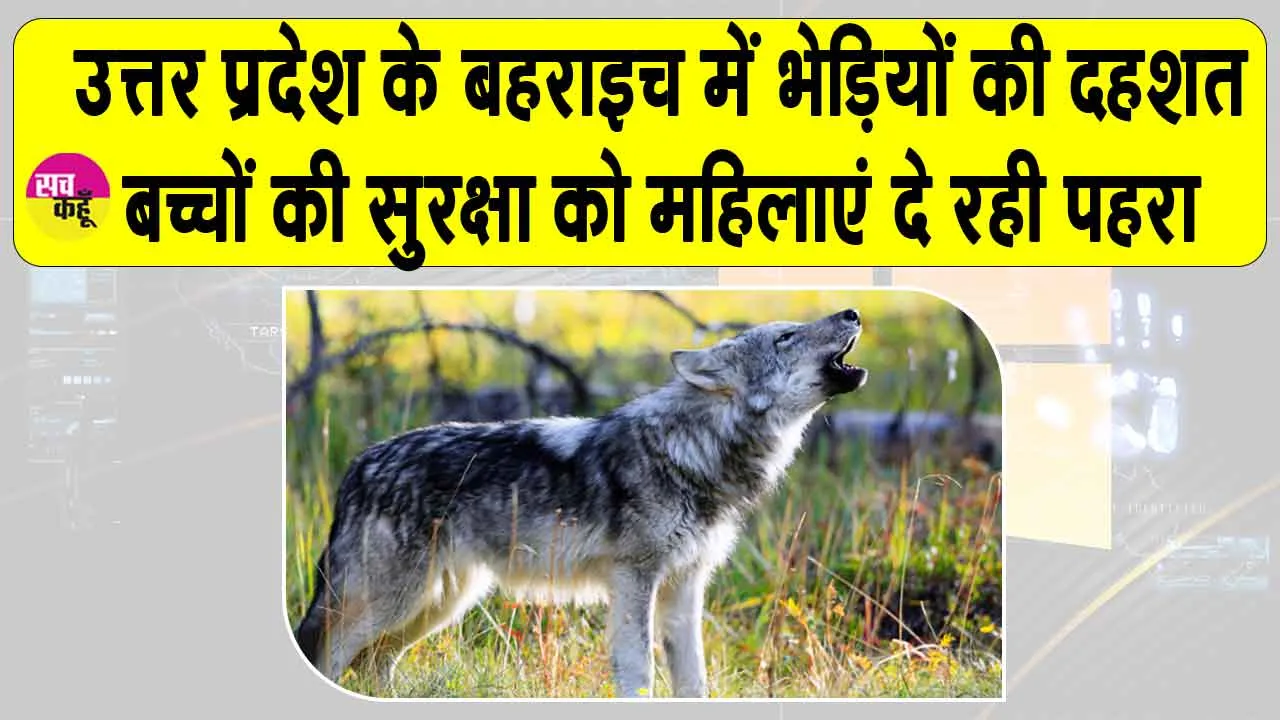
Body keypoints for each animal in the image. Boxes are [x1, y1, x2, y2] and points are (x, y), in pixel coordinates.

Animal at [292, 308, 869, 698]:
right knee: (328, 656)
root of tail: (360, 463)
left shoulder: (685, 586)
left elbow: (694, 679)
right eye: (785, 337)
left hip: (436, 605)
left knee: (372, 668)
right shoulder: (635, 579)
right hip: (394, 603)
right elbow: (639, 671)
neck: (694, 449)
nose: (852, 312)